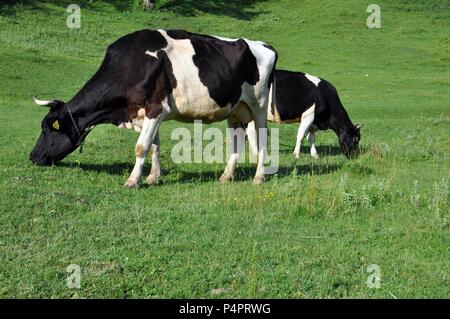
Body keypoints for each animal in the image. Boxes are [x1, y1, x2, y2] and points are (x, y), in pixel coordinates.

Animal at [29, 29, 276, 188]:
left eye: (49, 128)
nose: (33, 156)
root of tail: (264, 46)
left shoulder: (156, 107)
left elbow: (141, 147)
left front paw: (133, 181)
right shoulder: (148, 113)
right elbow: (155, 146)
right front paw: (153, 178)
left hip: (259, 105)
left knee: (262, 137)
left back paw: (258, 177)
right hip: (235, 109)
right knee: (237, 140)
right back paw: (226, 176)